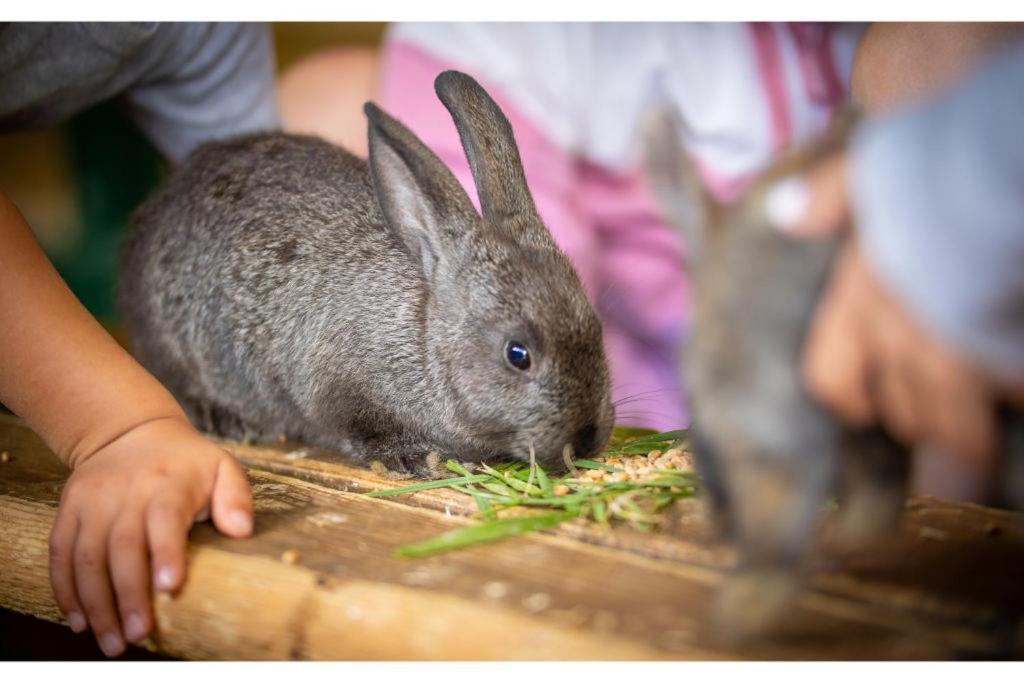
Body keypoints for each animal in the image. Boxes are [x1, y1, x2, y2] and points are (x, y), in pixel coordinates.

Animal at [119, 69, 614, 475]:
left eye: (597, 329)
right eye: (518, 354)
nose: (587, 440)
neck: (423, 339)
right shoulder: (333, 385)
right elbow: (359, 428)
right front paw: (412, 457)